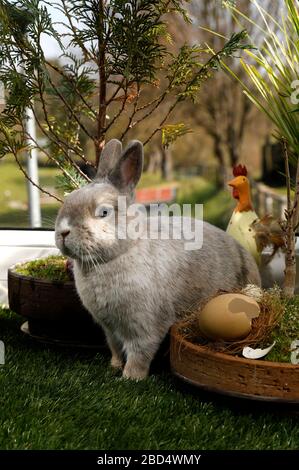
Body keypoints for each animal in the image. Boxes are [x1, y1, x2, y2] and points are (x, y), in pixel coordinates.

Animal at [55, 139, 262, 378]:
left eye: (104, 212)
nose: (63, 232)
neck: (120, 253)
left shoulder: (146, 325)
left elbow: (140, 353)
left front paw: (130, 377)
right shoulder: (110, 330)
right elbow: (115, 348)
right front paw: (114, 366)